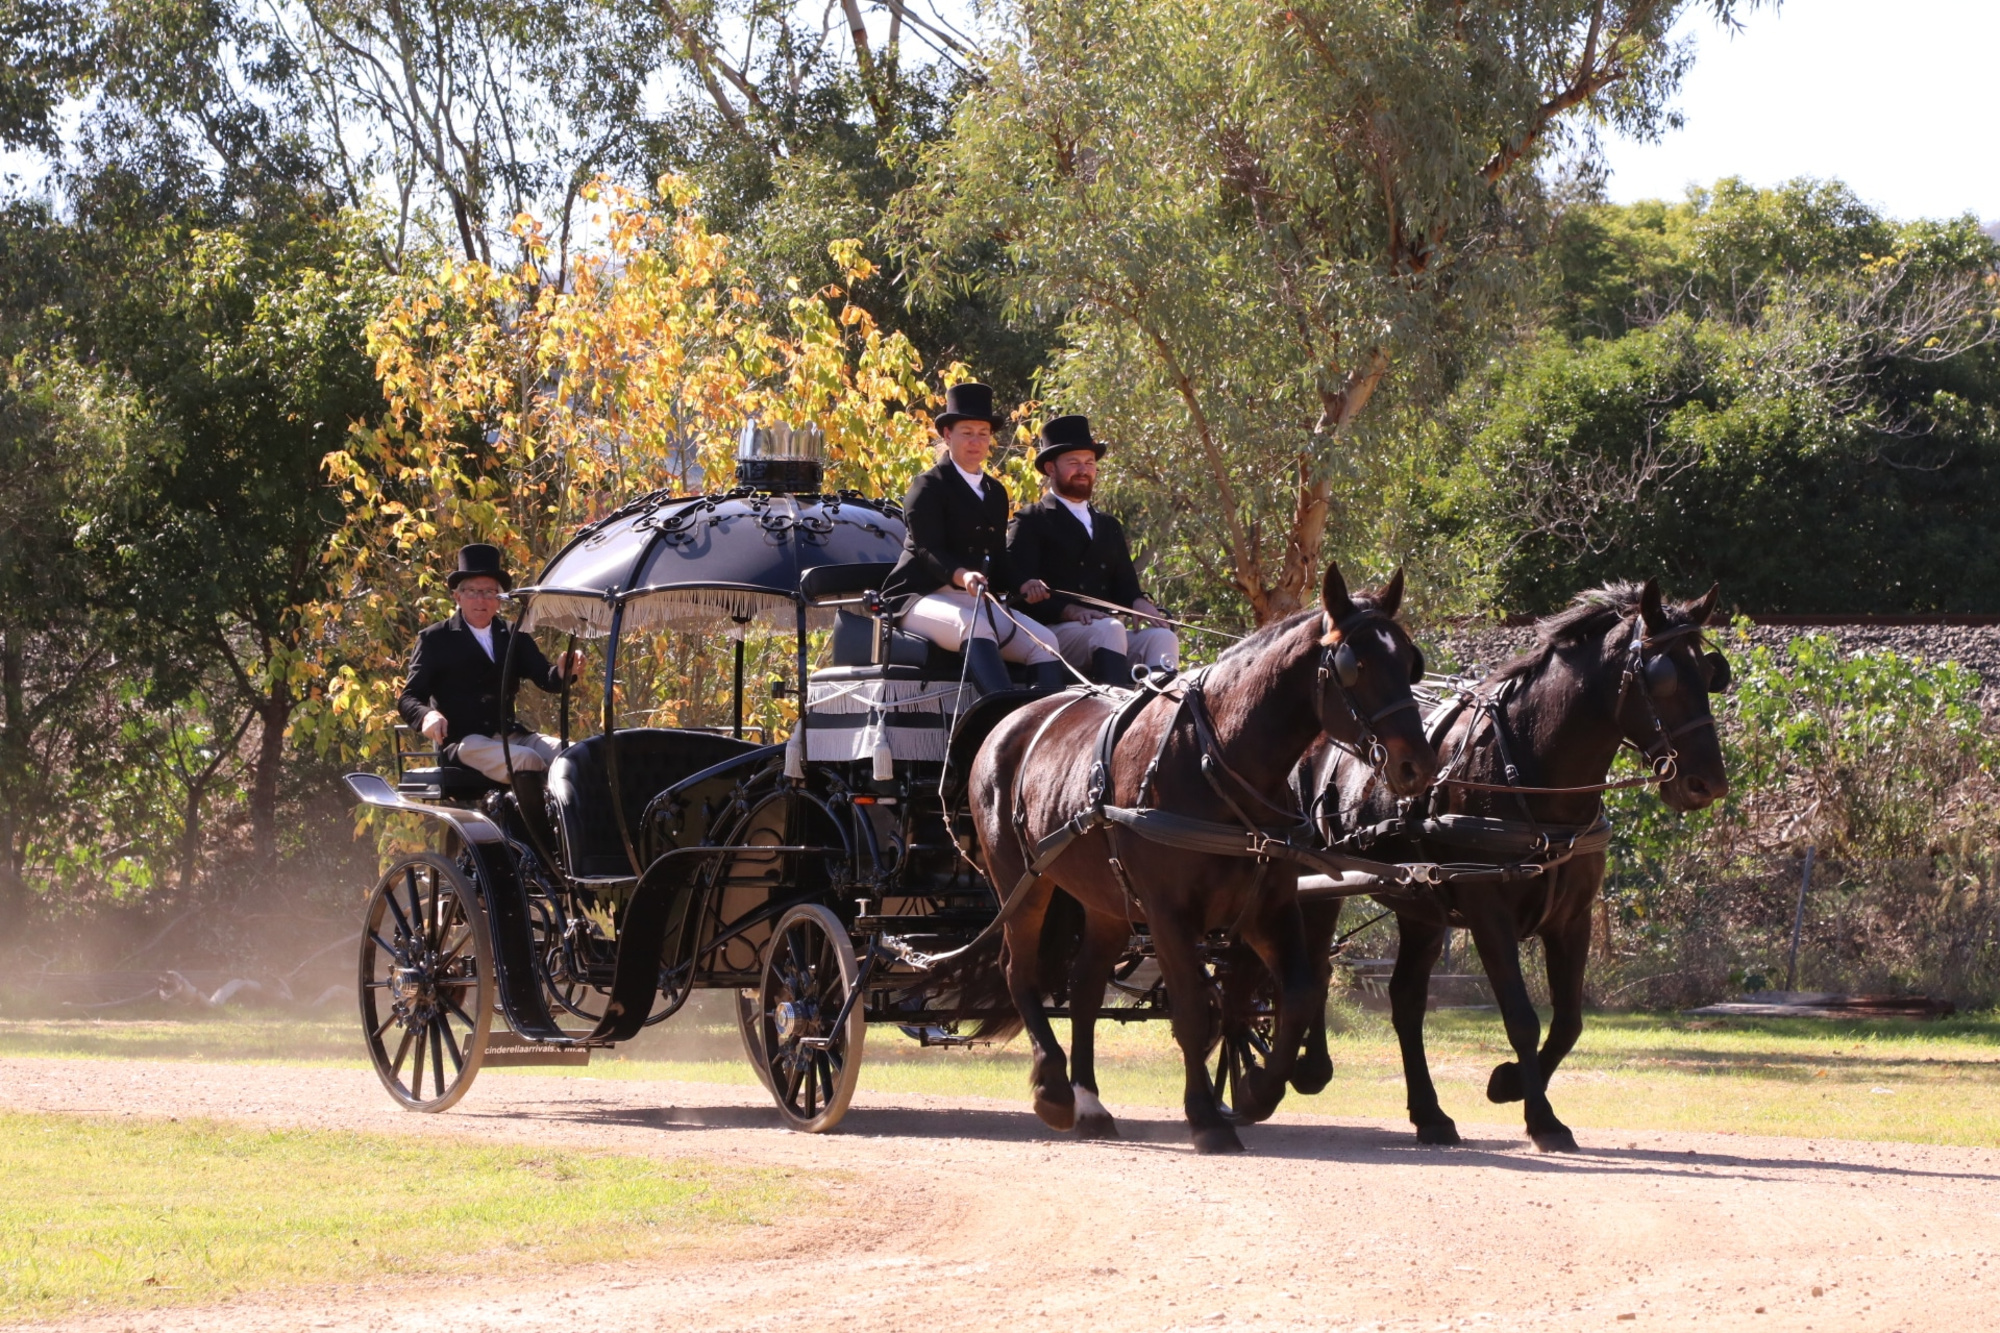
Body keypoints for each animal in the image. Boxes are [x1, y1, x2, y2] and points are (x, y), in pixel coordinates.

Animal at [966, 563, 1437, 1153]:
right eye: (1355, 666)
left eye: (1410, 660)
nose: (1418, 765)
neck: (1216, 763)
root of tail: (1012, 721)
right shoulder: (1169, 915)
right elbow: (1193, 1010)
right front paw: (1207, 1118)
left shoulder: (1267, 909)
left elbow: (1297, 993)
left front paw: (1258, 1088)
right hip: (1022, 882)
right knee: (1020, 971)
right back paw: (1053, 1088)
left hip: (1107, 902)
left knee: (1084, 985)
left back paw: (1089, 1101)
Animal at [1298, 578, 1730, 1151]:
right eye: (1662, 677)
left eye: (1709, 672)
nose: (1709, 783)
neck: (1530, 774)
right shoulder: (1489, 914)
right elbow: (1522, 1018)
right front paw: (1542, 1118)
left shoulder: (1572, 919)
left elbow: (1568, 1021)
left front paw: (1510, 1084)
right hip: (1316, 879)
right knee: (1313, 968)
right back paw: (1308, 1066)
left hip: (1420, 908)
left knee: (1406, 1001)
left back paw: (1430, 1114)